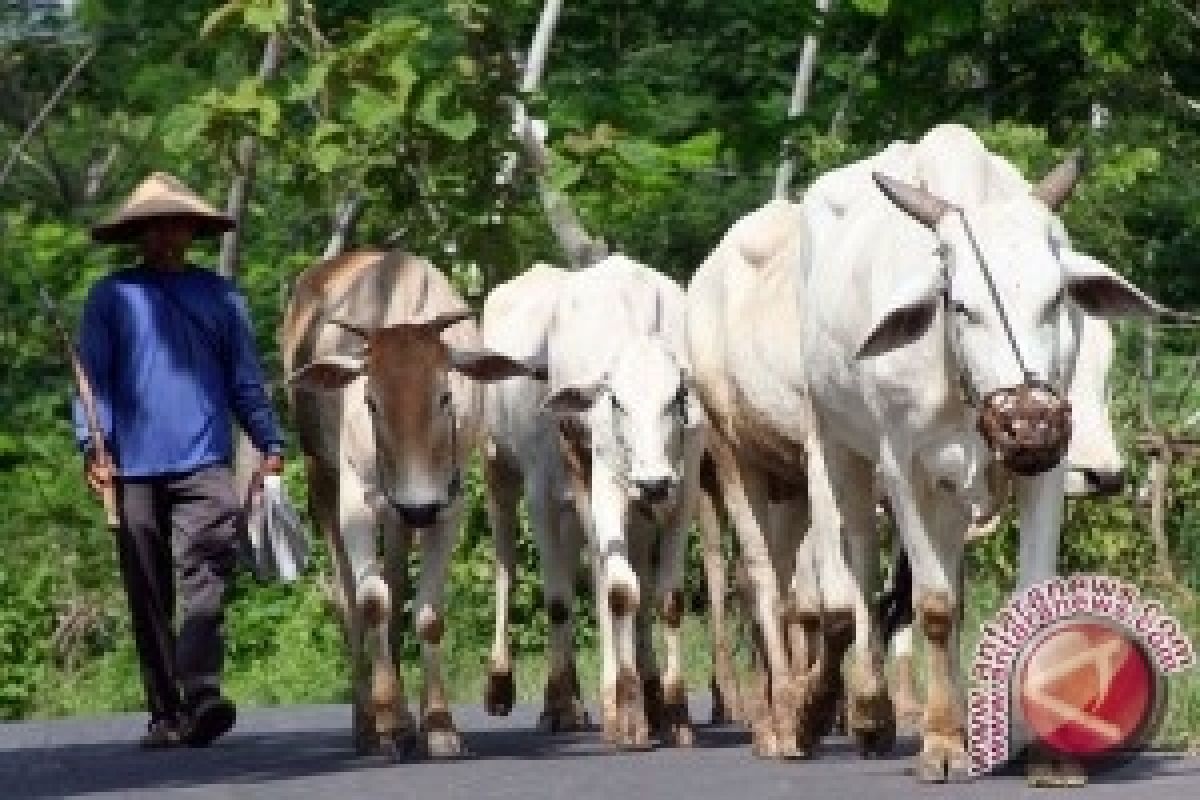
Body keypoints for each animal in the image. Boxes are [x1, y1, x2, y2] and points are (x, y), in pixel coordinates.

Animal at [280, 250, 535, 758]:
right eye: (371, 402)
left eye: (445, 396)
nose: (417, 507)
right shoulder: (357, 502)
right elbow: (372, 602)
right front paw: (388, 718)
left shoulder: (447, 506)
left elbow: (428, 615)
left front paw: (436, 723)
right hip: (323, 482)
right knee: (349, 600)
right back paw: (369, 722)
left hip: (400, 518)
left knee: (396, 583)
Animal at [537, 255, 700, 753]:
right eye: (617, 402)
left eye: (678, 397)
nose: (652, 481)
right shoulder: (607, 487)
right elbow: (621, 591)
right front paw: (628, 714)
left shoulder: (683, 492)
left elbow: (668, 598)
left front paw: (674, 711)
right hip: (582, 478)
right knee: (604, 576)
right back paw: (615, 700)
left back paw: (652, 695)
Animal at [796, 128, 1161, 786]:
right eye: (962, 305)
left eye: (1056, 299)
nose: (1030, 425)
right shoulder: (903, 469)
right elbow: (933, 607)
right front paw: (941, 742)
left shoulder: (1046, 469)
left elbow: (1025, 595)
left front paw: (1042, 747)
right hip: (835, 443)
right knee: (858, 563)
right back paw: (867, 712)